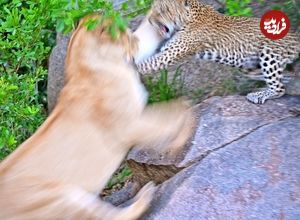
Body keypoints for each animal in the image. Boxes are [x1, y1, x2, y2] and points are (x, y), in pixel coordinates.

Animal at [135, 0, 300, 104]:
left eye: (163, 10)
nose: (149, 20)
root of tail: (296, 36)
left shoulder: (169, 53)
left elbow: (143, 65)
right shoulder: (166, 49)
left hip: (268, 55)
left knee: (280, 88)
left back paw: (257, 95)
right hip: (249, 67)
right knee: (286, 79)